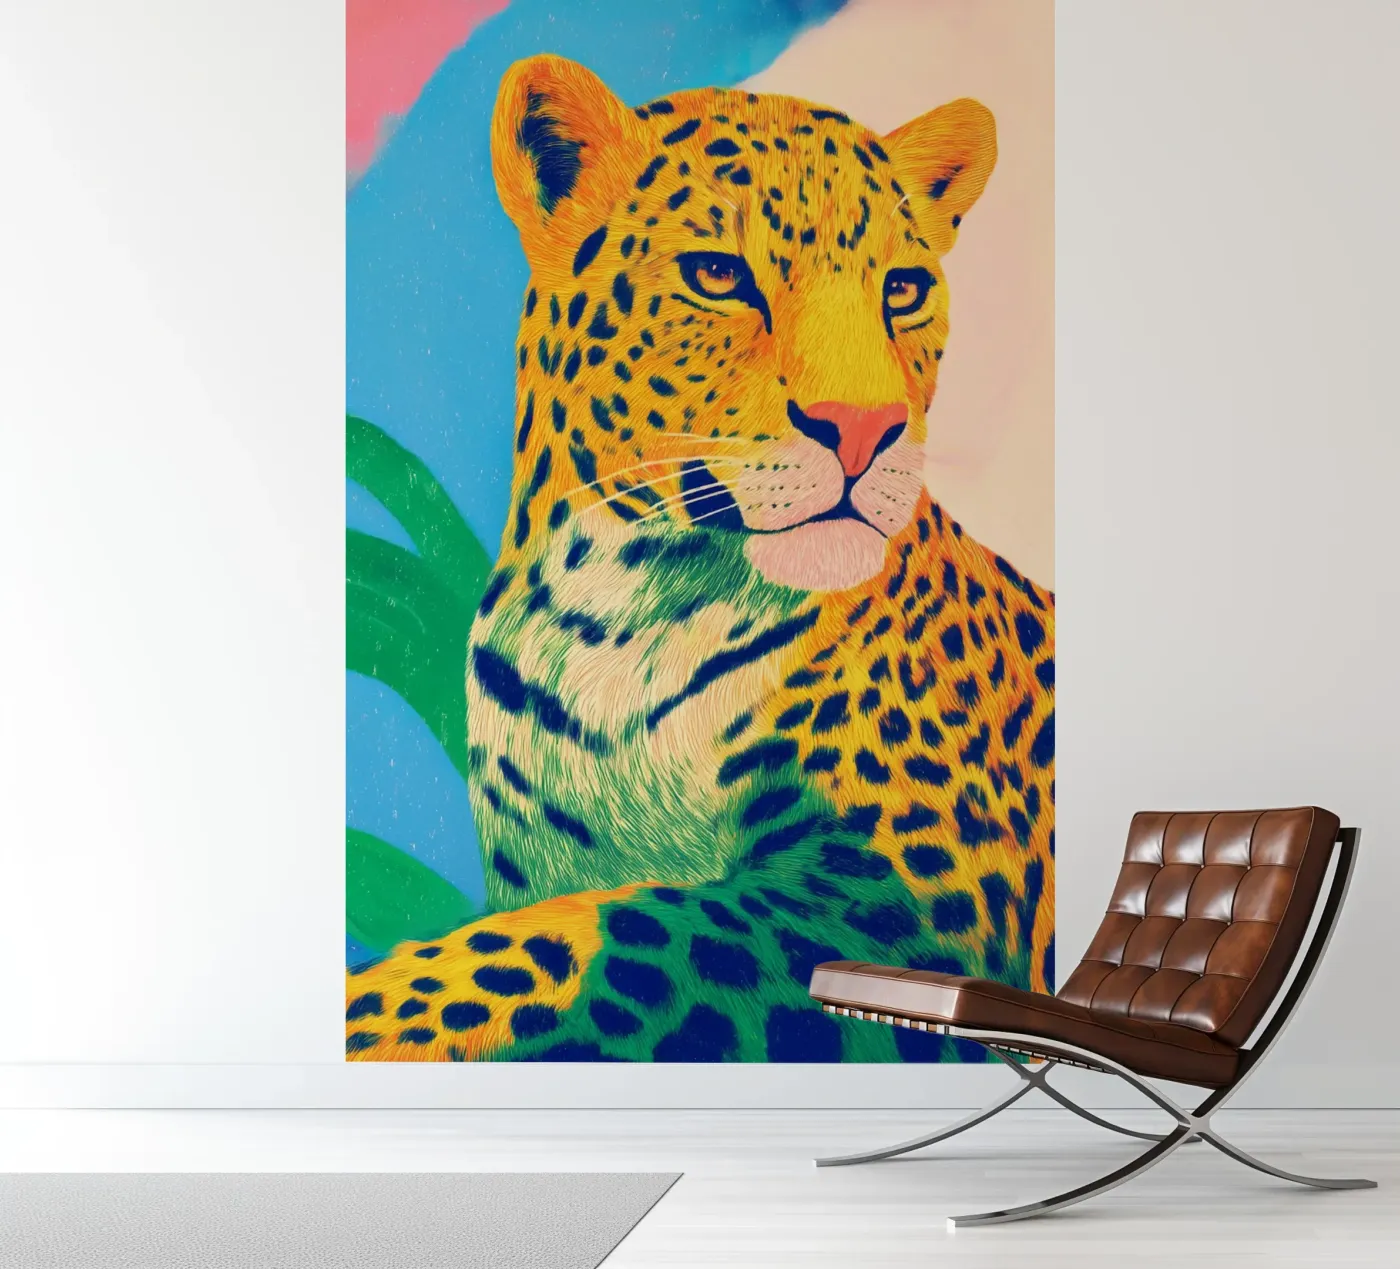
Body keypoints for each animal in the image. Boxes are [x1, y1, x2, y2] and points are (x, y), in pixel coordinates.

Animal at [346, 54, 1055, 1064]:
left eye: (904, 289)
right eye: (719, 275)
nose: (868, 430)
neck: (617, 611)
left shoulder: (912, 897)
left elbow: (578, 937)